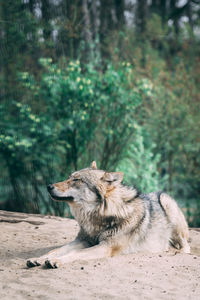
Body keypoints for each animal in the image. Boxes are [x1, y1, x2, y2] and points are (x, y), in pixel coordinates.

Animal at [26, 162, 191, 270]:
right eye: (69, 177)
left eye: (77, 180)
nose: (48, 186)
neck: (98, 215)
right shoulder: (83, 240)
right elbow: (56, 250)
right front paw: (38, 259)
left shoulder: (105, 247)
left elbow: (76, 253)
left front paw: (55, 261)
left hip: (166, 201)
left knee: (186, 247)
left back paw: (172, 250)